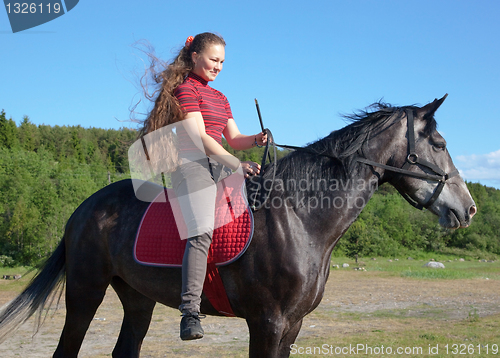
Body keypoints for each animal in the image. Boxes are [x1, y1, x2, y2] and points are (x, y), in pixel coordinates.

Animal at [0, 93, 476, 356]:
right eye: (439, 143)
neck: (299, 216)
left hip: (137, 299)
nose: (469, 208)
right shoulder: (267, 322)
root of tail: (84, 209)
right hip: (85, 293)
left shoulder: (291, 325)